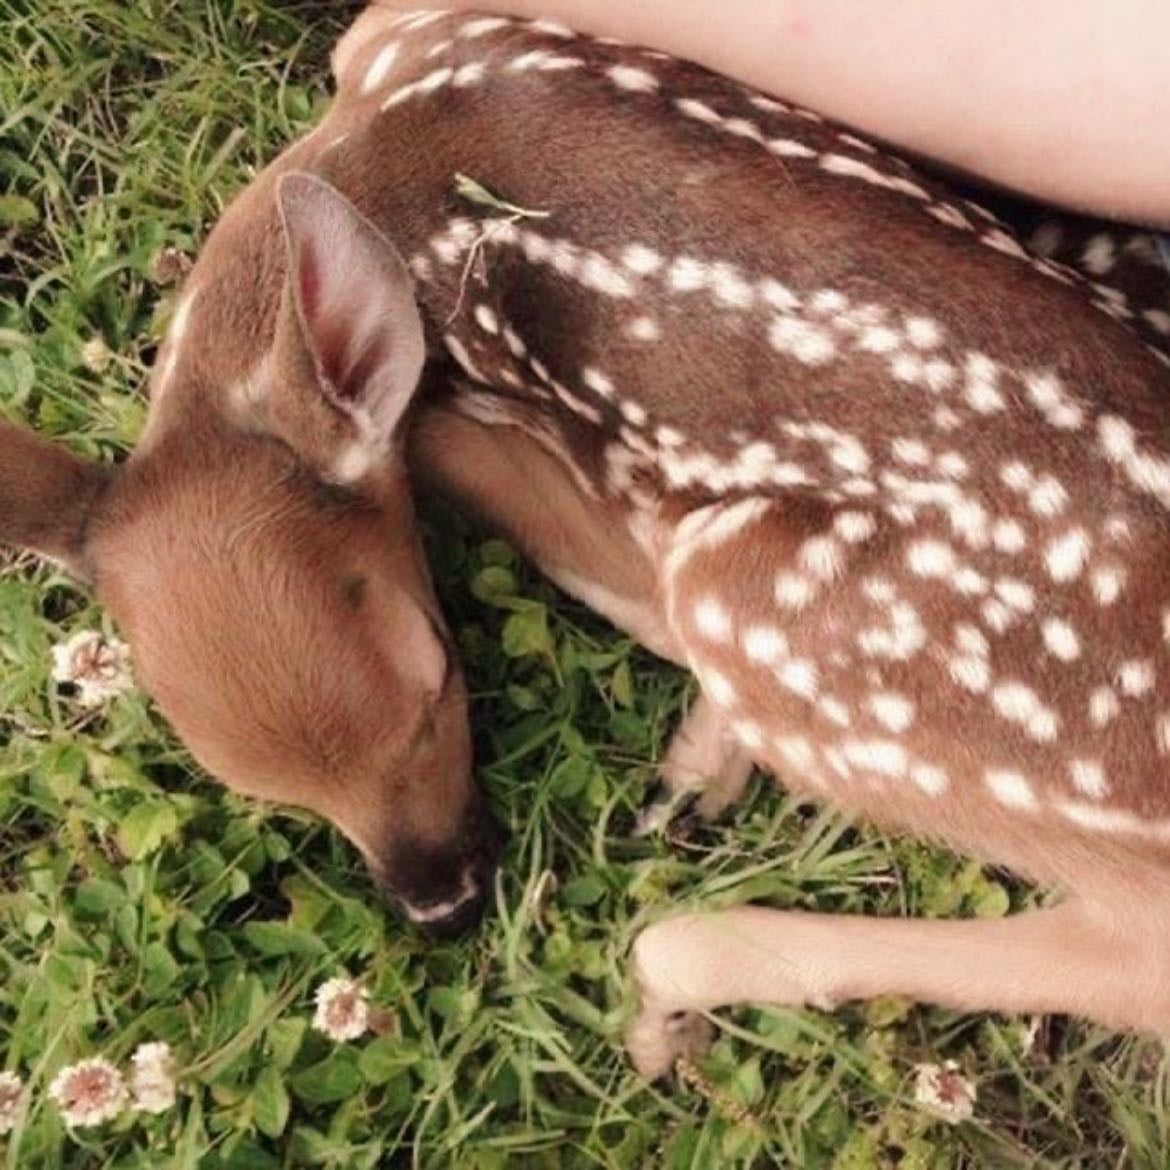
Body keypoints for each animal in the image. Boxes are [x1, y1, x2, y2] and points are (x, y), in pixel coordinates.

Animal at [3, 2, 1170, 1078]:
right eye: (250, 782)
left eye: (438, 676)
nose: (445, 904)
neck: (366, 147)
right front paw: (701, 762)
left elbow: (476, 467)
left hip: (785, 612)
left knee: (1131, 955)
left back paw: (668, 989)